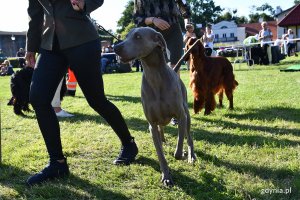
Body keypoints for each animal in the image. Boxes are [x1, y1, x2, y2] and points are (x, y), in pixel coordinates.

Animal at [113, 26, 196, 186]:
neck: (155, 76)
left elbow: (178, 147)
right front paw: (166, 176)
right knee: (161, 129)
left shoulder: (181, 116)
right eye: (126, 36)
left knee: (188, 137)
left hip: (187, 115)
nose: (116, 47)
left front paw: (182, 154)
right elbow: (160, 154)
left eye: (138, 37)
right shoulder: (151, 124)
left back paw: (191, 155)